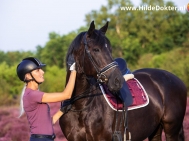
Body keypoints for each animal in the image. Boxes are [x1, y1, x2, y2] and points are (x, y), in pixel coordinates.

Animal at [59, 21, 188, 141]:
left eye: (110, 50)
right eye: (96, 49)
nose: (117, 80)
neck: (80, 106)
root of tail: (176, 79)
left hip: (171, 129)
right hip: (156, 129)